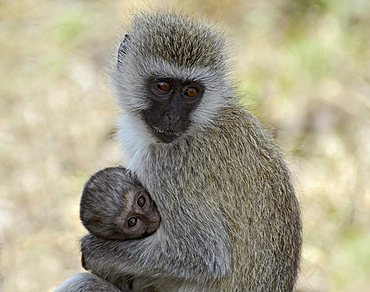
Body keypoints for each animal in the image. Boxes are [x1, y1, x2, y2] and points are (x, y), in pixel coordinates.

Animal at [56, 10, 302, 290]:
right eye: (163, 86)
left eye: (191, 92)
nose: (172, 117)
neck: (203, 121)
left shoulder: (168, 166)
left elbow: (203, 257)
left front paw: (95, 250)